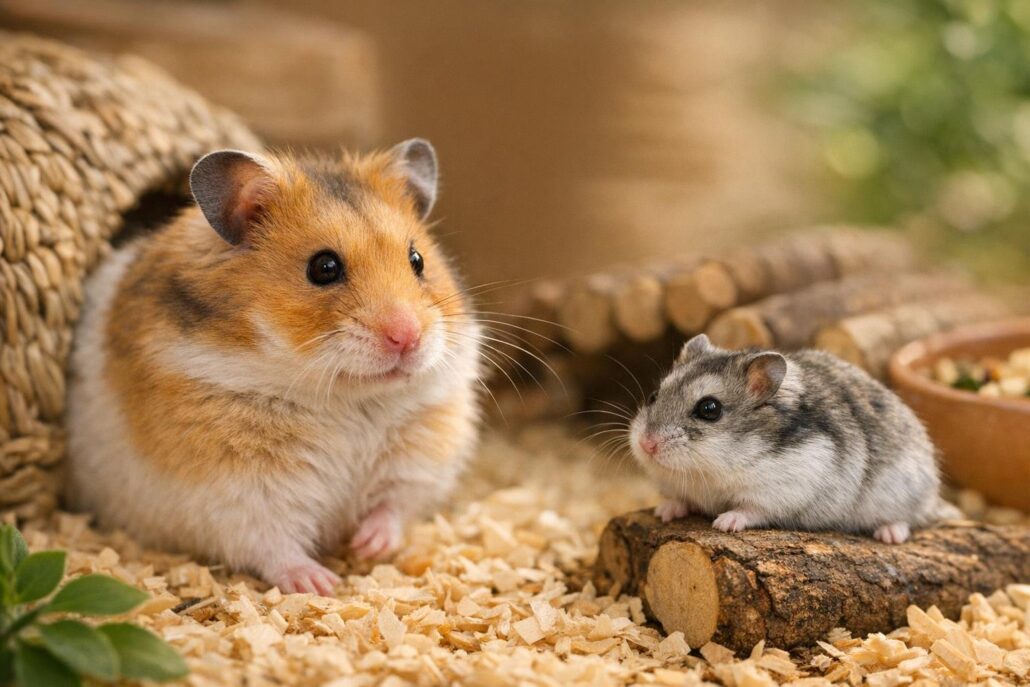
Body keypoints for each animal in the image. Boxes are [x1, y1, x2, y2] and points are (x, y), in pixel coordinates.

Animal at [66, 139, 482, 594]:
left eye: (417, 259)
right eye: (323, 267)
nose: (407, 337)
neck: (345, 398)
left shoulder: (420, 456)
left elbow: (394, 506)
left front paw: (368, 546)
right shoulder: (239, 492)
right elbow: (273, 544)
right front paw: (321, 584)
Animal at [629, 334, 959, 543]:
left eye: (709, 409)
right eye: (654, 395)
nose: (647, 444)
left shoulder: (783, 488)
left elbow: (751, 509)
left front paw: (724, 523)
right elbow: (678, 498)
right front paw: (664, 512)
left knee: (911, 517)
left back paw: (889, 534)